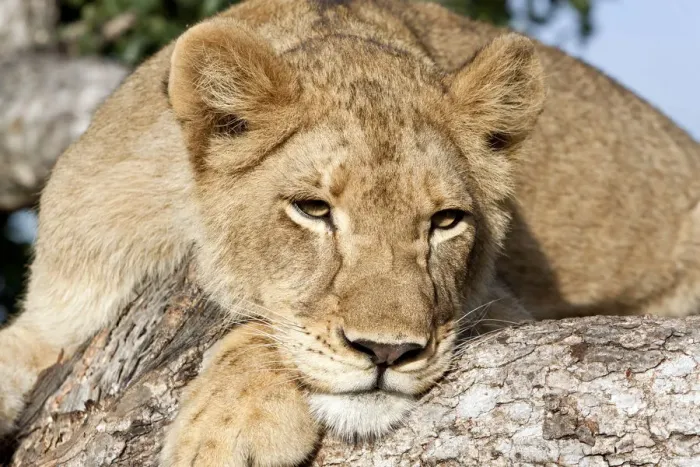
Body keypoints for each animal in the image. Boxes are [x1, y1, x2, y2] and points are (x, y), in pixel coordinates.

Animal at [1, 0, 698, 465]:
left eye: (445, 221)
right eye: (313, 210)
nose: (387, 353)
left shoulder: (504, 309)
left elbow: (263, 331)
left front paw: (228, 426)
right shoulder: (60, 311)